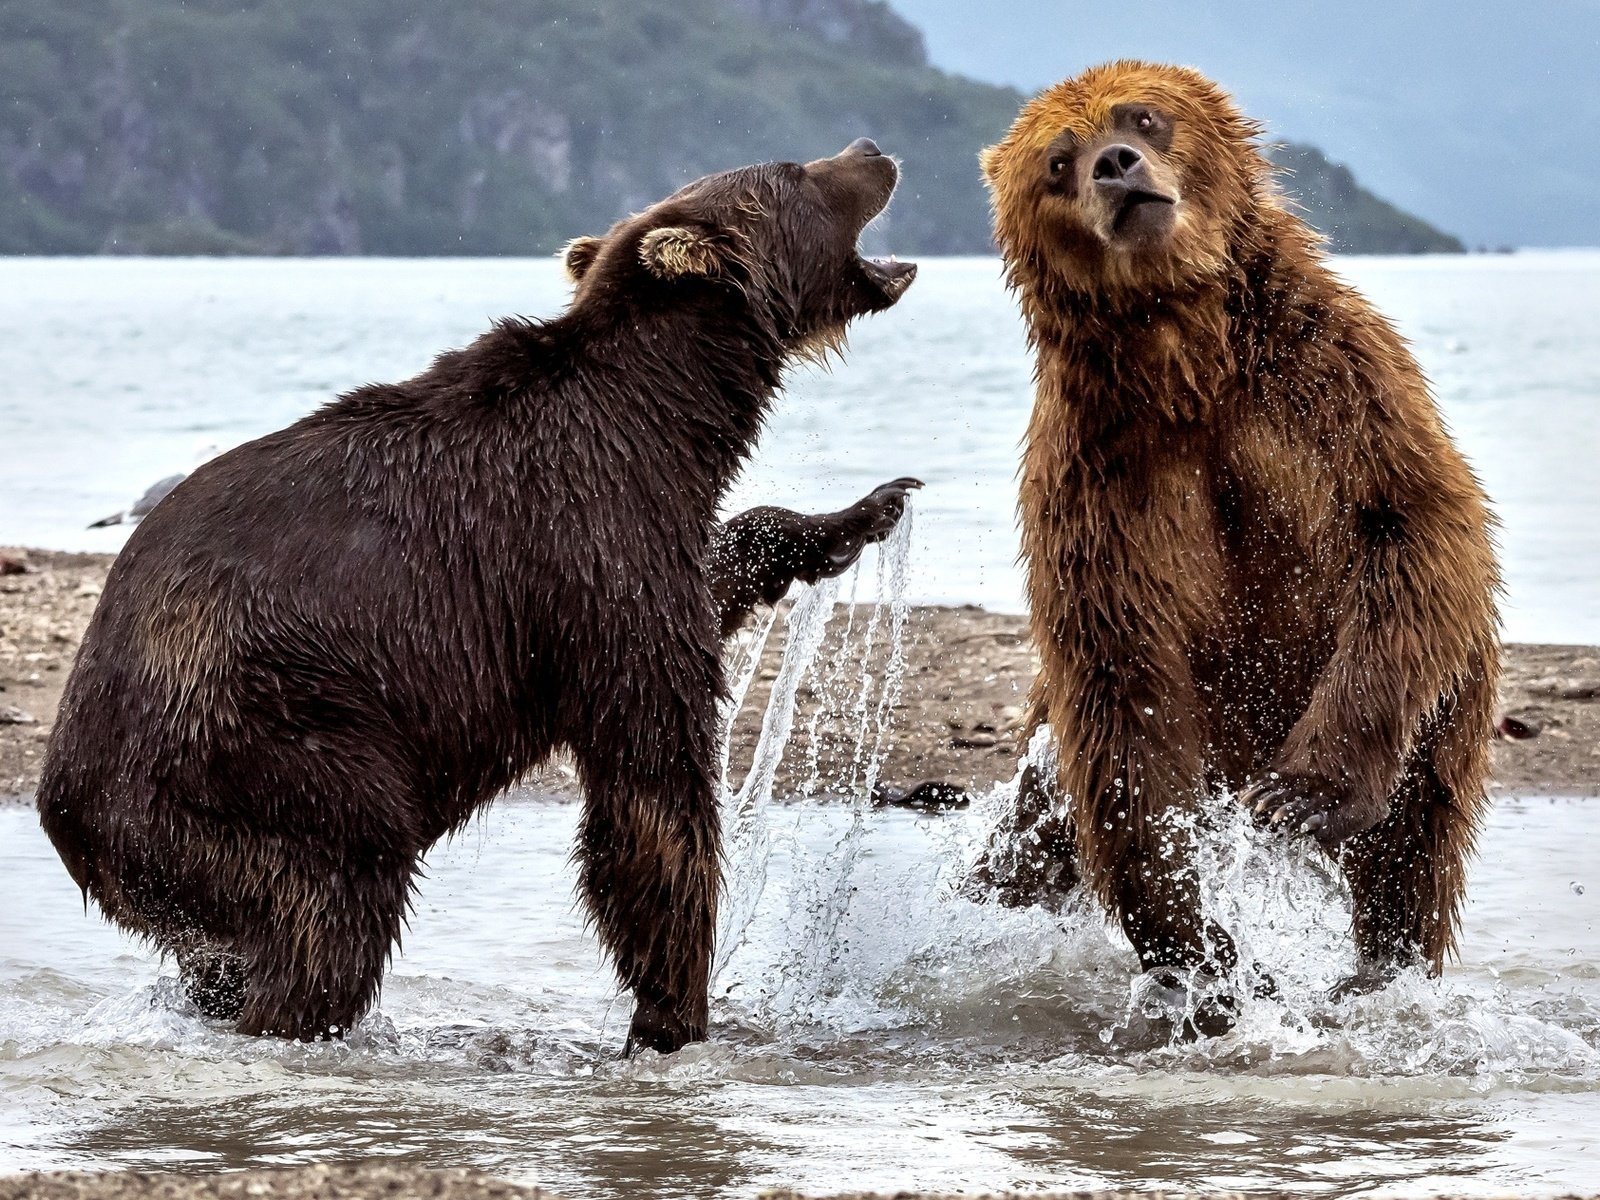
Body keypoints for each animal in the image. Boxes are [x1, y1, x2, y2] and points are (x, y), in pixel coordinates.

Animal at [37, 140, 921, 1056]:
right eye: (794, 172)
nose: (871, 150)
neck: (665, 415)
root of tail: (64, 806)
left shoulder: (635, 533)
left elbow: (712, 577)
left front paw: (860, 513)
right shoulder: (583, 539)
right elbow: (653, 781)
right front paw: (672, 1011)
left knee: (225, 952)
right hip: (260, 746)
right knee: (338, 896)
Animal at [966, 56, 1504, 1017]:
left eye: (1142, 117)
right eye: (1058, 163)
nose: (1115, 168)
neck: (1187, 361)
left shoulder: (1331, 383)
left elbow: (1411, 524)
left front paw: (1302, 795)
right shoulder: (1098, 480)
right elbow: (1123, 683)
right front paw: (1204, 951)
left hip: (1447, 713)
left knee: (1415, 841)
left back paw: (1383, 965)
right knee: (1041, 824)